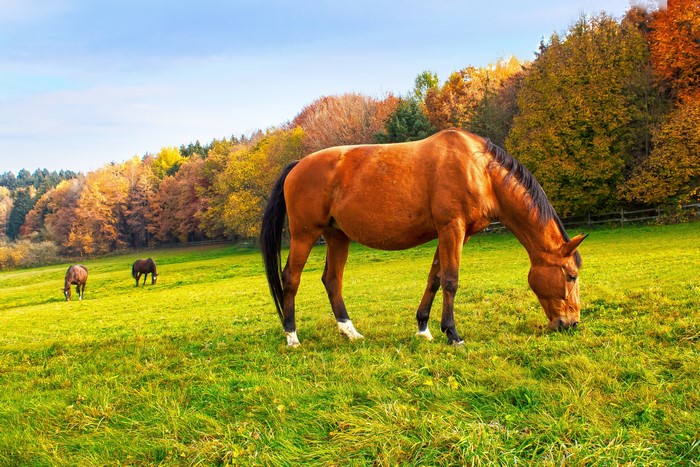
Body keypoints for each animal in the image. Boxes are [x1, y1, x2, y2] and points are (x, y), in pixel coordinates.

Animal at [261, 128, 586, 347]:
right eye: (571, 275)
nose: (570, 323)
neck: (479, 169)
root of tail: (297, 165)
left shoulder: (456, 234)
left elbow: (435, 278)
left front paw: (424, 328)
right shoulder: (451, 228)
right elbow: (451, 280)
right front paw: (453, 333)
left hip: (337, 236)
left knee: (332, 280)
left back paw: (350, 331)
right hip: (305, 234)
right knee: (291, 278)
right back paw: (292, 335)